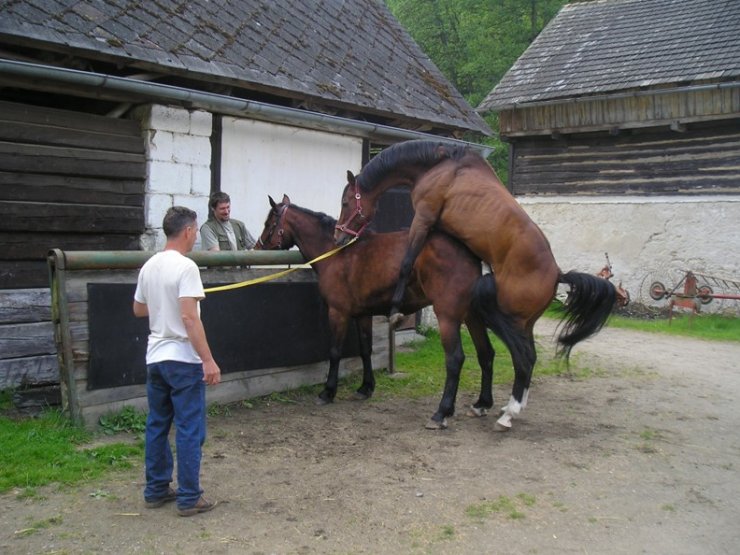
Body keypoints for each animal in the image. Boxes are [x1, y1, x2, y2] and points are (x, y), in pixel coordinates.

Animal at [258, 195, 494, 430]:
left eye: (270, 223)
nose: (258, 246)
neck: (337, 253)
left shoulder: (338, 313)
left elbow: (335, 352)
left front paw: (328, 391)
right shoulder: (363, 314)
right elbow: (365, 350)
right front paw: (366, 387)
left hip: (448, 316)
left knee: (455, 359)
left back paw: (441, 413)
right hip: (471, 315)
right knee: (486, 353)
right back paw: (482, 403)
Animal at [336, 139, 620, 430]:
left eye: (345, 202)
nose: (338, 237)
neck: (440, 166)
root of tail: (557, 275)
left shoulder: (424, 218)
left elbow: (407, 261)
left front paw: (395, 310)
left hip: (510, 320)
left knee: (523, 358)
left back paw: (507, 414)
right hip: (523, 323)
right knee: (524, 358)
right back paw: (502, 406)